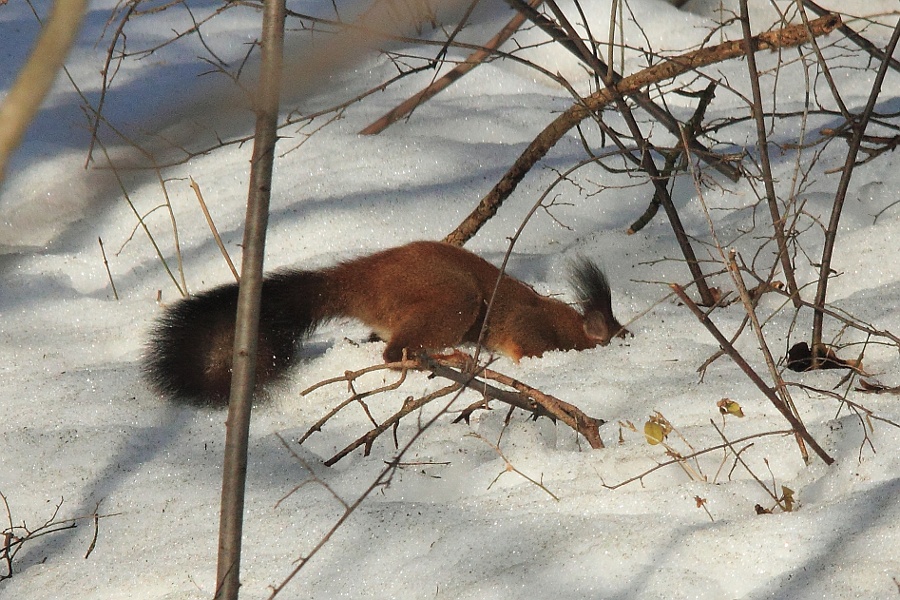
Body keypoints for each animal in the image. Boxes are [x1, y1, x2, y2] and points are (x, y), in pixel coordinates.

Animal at [146, 240, 624, 404]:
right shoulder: (531, 327)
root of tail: (360, 281)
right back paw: (438, 358)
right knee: (394, 352)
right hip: (454, 300)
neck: (568, 323)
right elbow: (528, 347)